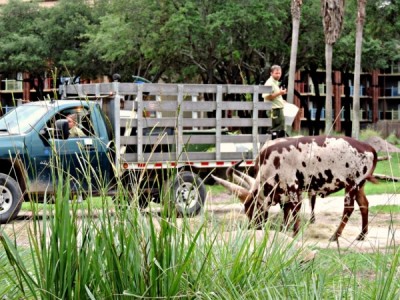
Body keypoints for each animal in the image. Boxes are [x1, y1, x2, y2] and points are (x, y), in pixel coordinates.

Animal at [214, 136, 376, 241]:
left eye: (252, 210)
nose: (254, 228)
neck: (271, 163)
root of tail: (369, 148)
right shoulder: (286, 191)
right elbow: (286, 210)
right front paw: (284, 229)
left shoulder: (293, 187)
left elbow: (294, 209)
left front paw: (294, 232)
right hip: (359, 186)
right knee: (364, 205)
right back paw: (362, 235)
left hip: (351, 185)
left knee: (348, 209)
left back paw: (335, 236)